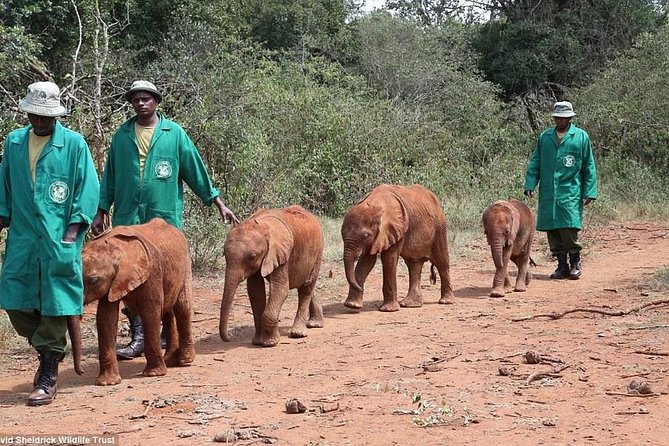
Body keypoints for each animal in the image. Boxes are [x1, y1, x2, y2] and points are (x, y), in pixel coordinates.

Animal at [81, 218, 195, 386]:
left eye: (93, 281)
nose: (81, 371)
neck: (117, 245)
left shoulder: (152, 270)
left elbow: (150, 312)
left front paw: (153, 374)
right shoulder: (112, 282)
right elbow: (106, 317)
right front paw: (107, 383)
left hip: (185, 265)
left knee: (182, 307)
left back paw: (185, 361)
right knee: (167, 312)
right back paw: (169, 361)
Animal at [220, 205, 324, 347]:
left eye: (252, 257)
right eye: (224, 255)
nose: (230, 337)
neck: (262, 225)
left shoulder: (281, 253)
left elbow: (281, 289)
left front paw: (270, 343)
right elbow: (255, 291)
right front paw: (258, 342)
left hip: (318, 250)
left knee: (307, 286)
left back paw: (298, 333)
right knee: (304, 284)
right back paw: (315, 324)